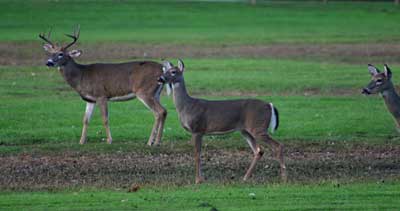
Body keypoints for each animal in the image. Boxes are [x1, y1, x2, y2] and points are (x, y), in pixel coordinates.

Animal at [39, 26, 167, 145]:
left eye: (61, 54)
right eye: (51, 53)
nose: (48, 62)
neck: (82, 75)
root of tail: (162, 68)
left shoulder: (101, 95)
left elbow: (105, 119)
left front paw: (109, 140)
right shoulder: (90, 99)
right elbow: (85, 119)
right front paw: (81, 141)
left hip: (144, 91)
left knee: (158, 112)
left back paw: (151, 142)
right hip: (156, 93)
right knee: (164, 111)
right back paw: (157, 141)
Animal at [158, 59, 286, 183]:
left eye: (173, 72)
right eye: (165, 70)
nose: (160, 78)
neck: (187, 106)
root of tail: (270, 105)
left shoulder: (197, 128)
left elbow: (197, 154)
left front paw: (198, 180)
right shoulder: (200, 132)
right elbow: (199, 153)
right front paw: (201, 178)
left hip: (258, 127)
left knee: (278, 145)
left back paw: (283, 177)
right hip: (246, 130)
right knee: (259, 150)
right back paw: (245, 178)